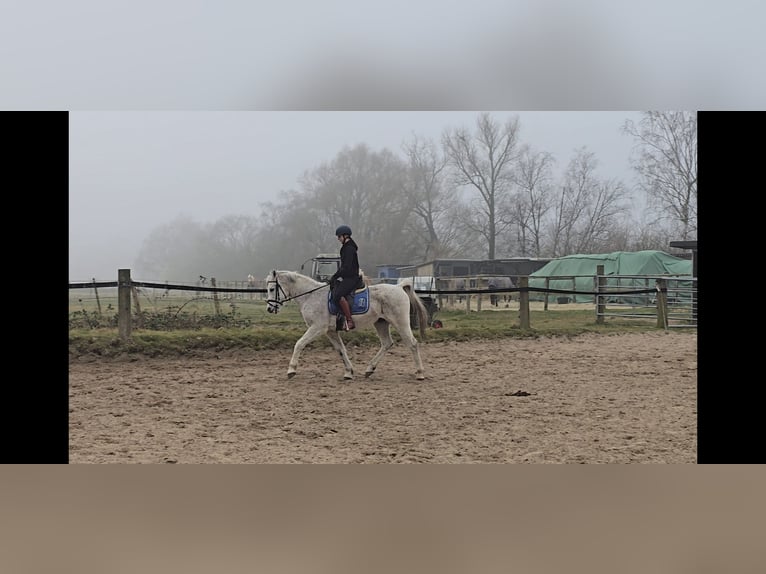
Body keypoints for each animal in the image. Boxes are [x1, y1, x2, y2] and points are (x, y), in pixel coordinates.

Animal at [268, 272, 428, 382]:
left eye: (271, 289)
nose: (270, 309)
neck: (311, 296)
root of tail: (398, 287)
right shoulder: (331, 331)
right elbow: (341, 350)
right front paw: (348, 372)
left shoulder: (317, 327)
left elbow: (299, 344)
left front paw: (291, 370)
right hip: (381, 323)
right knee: (387, 343)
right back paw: (369, 369)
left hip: (400, 322)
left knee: (412, 344)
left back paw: (420, 373)